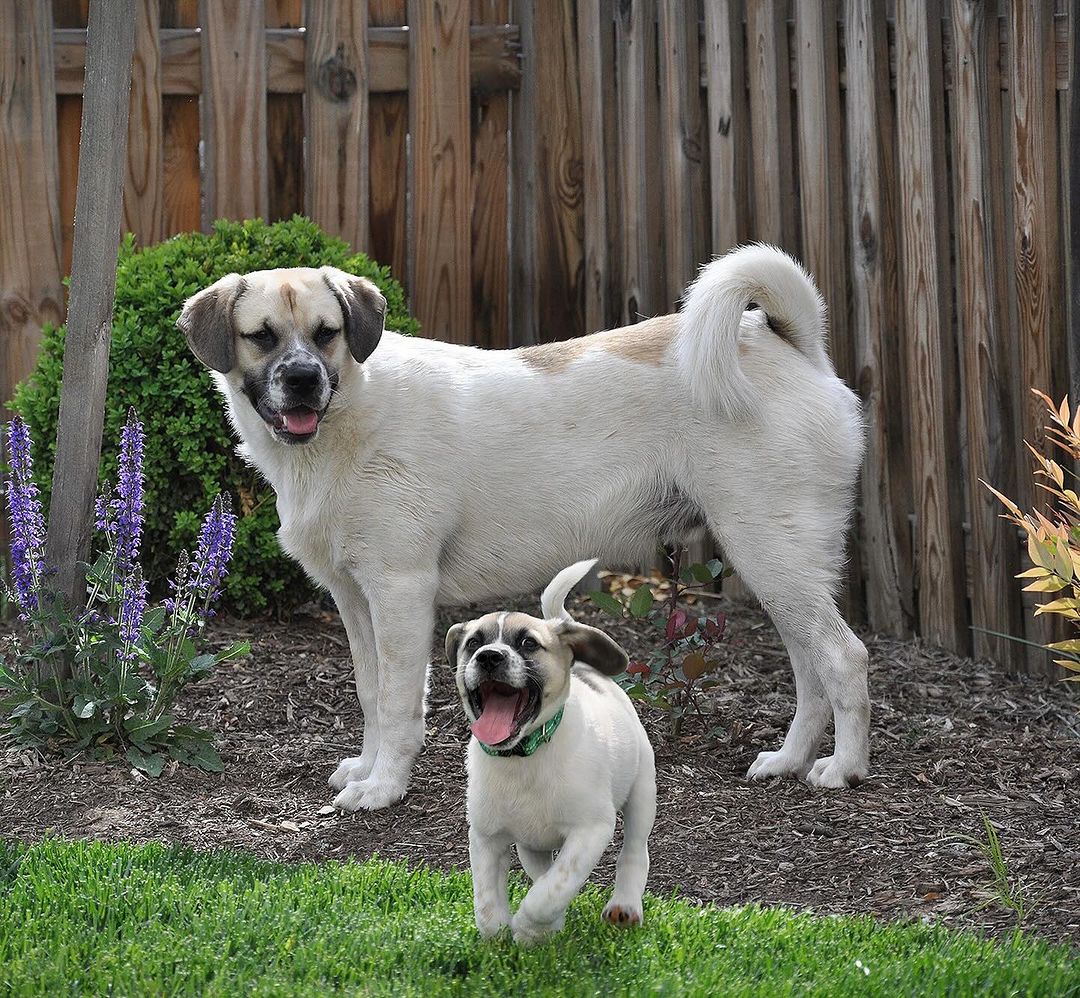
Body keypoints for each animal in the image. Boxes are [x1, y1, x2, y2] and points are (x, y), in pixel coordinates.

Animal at [179, 244, 868, 812]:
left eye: (328, 334)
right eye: (262, 337)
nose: (302, 380)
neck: (351, 409)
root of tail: (790, 345)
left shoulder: (400, 592)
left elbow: (399, 703)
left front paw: (384, 788)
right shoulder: (354, 600)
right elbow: (372, 694)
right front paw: (367, 769)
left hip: (773, 555)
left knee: (844, 657)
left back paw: (844, 769)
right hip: (778, 566)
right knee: (811, 670)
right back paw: (788, 761)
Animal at [442, 561, 652, 941]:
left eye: (528, 643)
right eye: (473, 643)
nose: (489, 657)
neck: (524, 757)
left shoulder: (590, 830)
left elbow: (551, 890)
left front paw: (528, 925)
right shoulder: (486, 838)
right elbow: (488, 906)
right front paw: (508, 933)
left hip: (642, 792)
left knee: (634, 851)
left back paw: (625, 905)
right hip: (531, 844)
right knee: (541, 869)